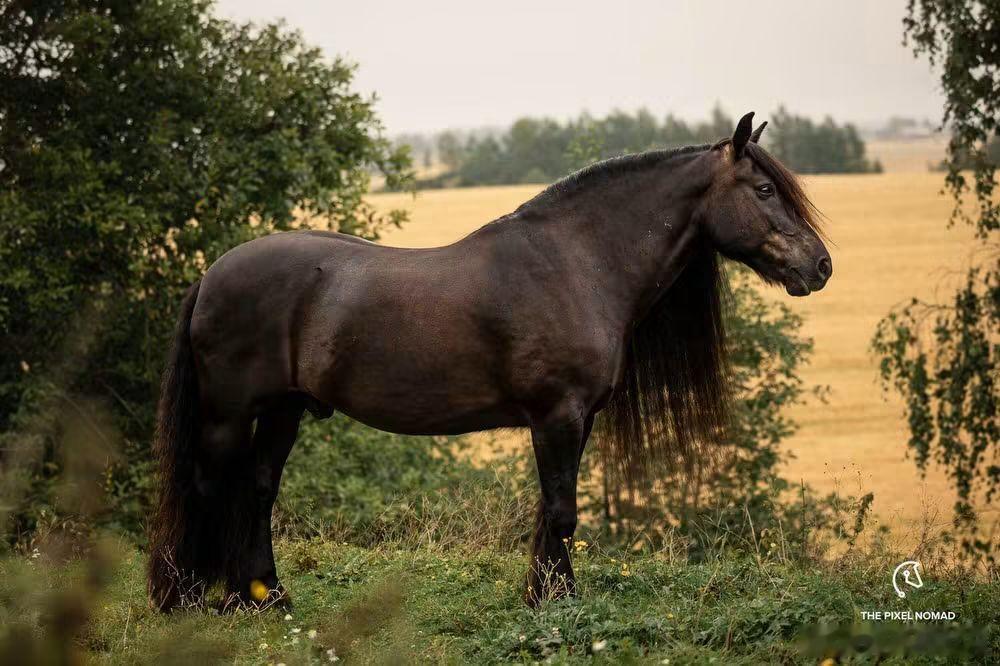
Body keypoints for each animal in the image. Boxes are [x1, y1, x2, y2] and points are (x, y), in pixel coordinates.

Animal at [147, 112, 831, 611]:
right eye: (764, 190)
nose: (820, 266)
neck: (575, 263)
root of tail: (212, 273)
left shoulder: (577, 419)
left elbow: (553, 509)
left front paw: (544, 593)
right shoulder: (557, 415)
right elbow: (562, 509)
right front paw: (556, 601)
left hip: (284, 410)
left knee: (257, 488)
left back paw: (265, 598)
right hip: (228, 414)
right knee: (210, 487)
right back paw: (192, 599)